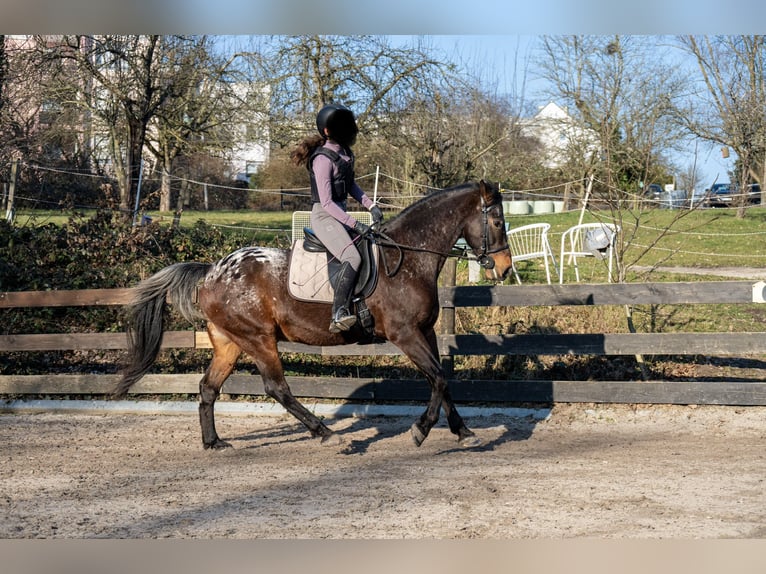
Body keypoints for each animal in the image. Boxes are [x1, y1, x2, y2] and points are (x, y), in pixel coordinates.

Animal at [115, 180, 513, 450]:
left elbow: (441, 381)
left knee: (208, 387)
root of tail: (213, 271)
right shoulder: (405, 334)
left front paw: (463, 432)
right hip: (259, 339)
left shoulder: (425, 332)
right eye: (496, 221)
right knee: (277, 388)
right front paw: (421, 430)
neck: (409, 258)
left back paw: (213, 442)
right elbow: (439, 379)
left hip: (230, 341)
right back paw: (325, 432)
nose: (505, 268)